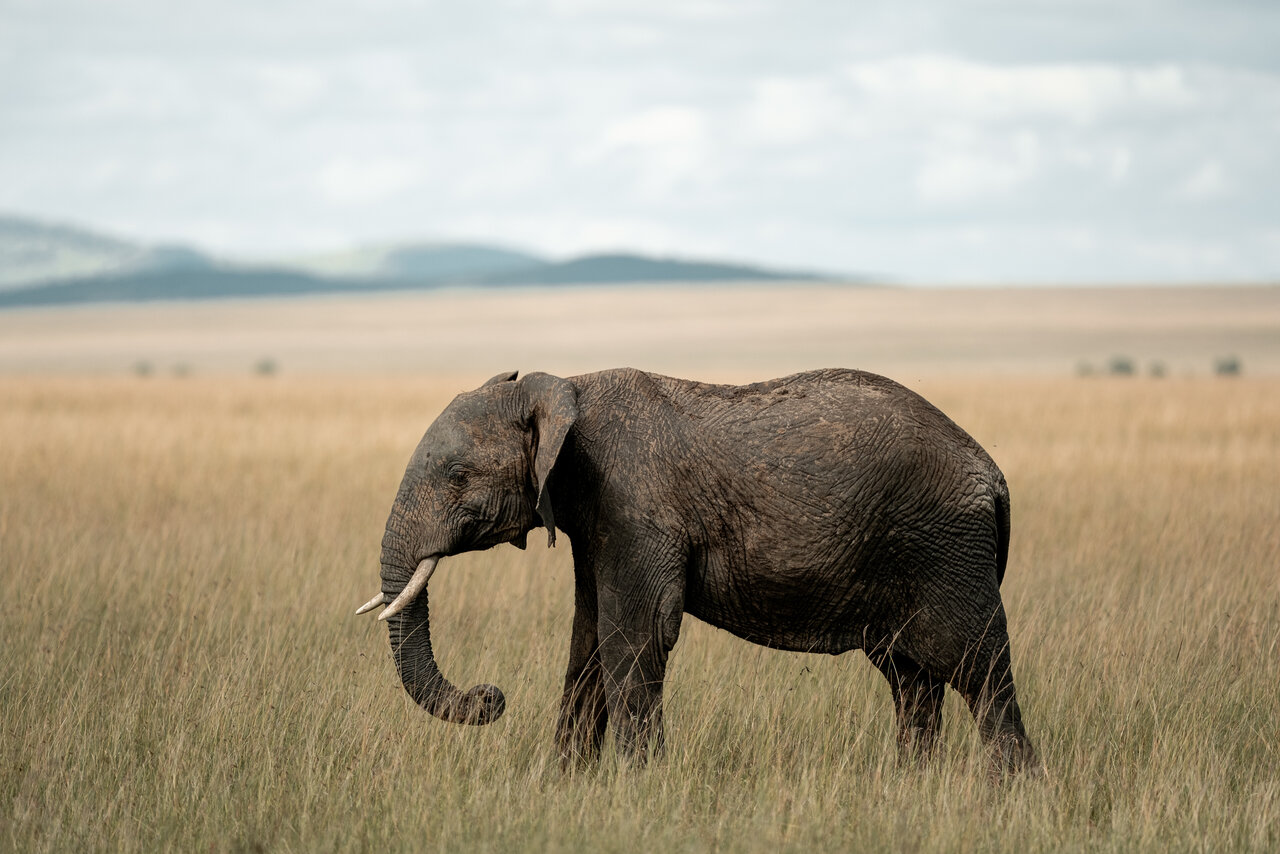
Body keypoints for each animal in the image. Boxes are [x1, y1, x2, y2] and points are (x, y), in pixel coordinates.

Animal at [356, 367, 1040, 776]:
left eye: (458, 477)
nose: (490, 696)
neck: (565, 387)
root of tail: (993, 475)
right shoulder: (597, 521)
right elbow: (587, 642)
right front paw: (567, 785)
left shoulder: (634, 504)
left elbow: (633, 640)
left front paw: (638, 788)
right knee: (911, 680)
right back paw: (909, 785)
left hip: (947, 550)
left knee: (979, 670)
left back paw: (1010, 794)